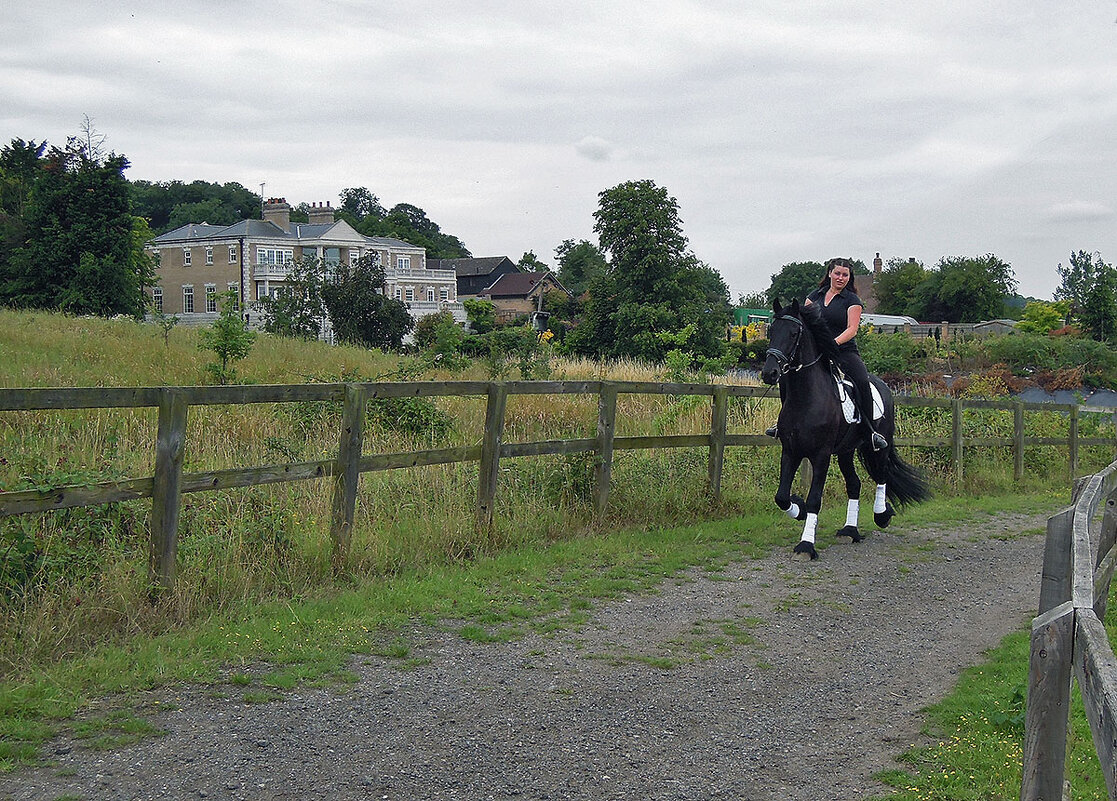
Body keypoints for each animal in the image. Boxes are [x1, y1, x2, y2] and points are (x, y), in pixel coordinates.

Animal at [759, 297, 933, 558]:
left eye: (793, 333)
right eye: (771, 331)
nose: (769, 373)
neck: (806, 399)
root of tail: (883, 384)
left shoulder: (820, 455)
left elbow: (815, 499)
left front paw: (806, 545)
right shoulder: (790, 451)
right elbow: (781, 496)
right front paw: (798, 509)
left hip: (878, 446)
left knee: (881, 475)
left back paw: (881, 515)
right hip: (845, 451)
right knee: (854, 484)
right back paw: (850, 531)